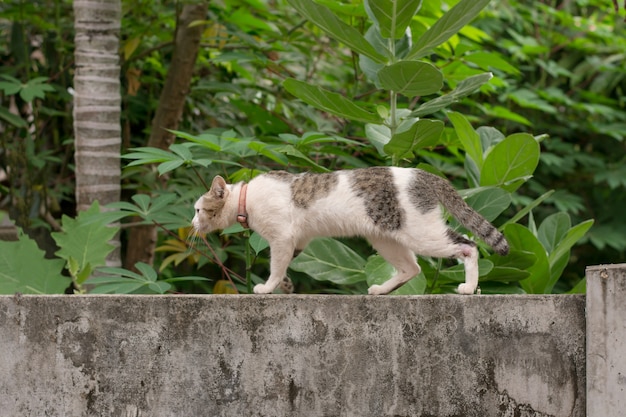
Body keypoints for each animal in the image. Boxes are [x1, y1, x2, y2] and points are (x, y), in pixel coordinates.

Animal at [191, 167, 508, 296]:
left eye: (196, 210)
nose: (191, 224)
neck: (246, 198)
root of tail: (427, 176)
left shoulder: (281, 238)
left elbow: (275, 267)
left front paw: (267, 288)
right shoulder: (298, 240)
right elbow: (285, 268)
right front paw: (286, 287)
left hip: (421, 232)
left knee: (468, 245)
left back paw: (468, 287)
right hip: (385, 238)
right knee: (413, 268)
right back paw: (381, 289)